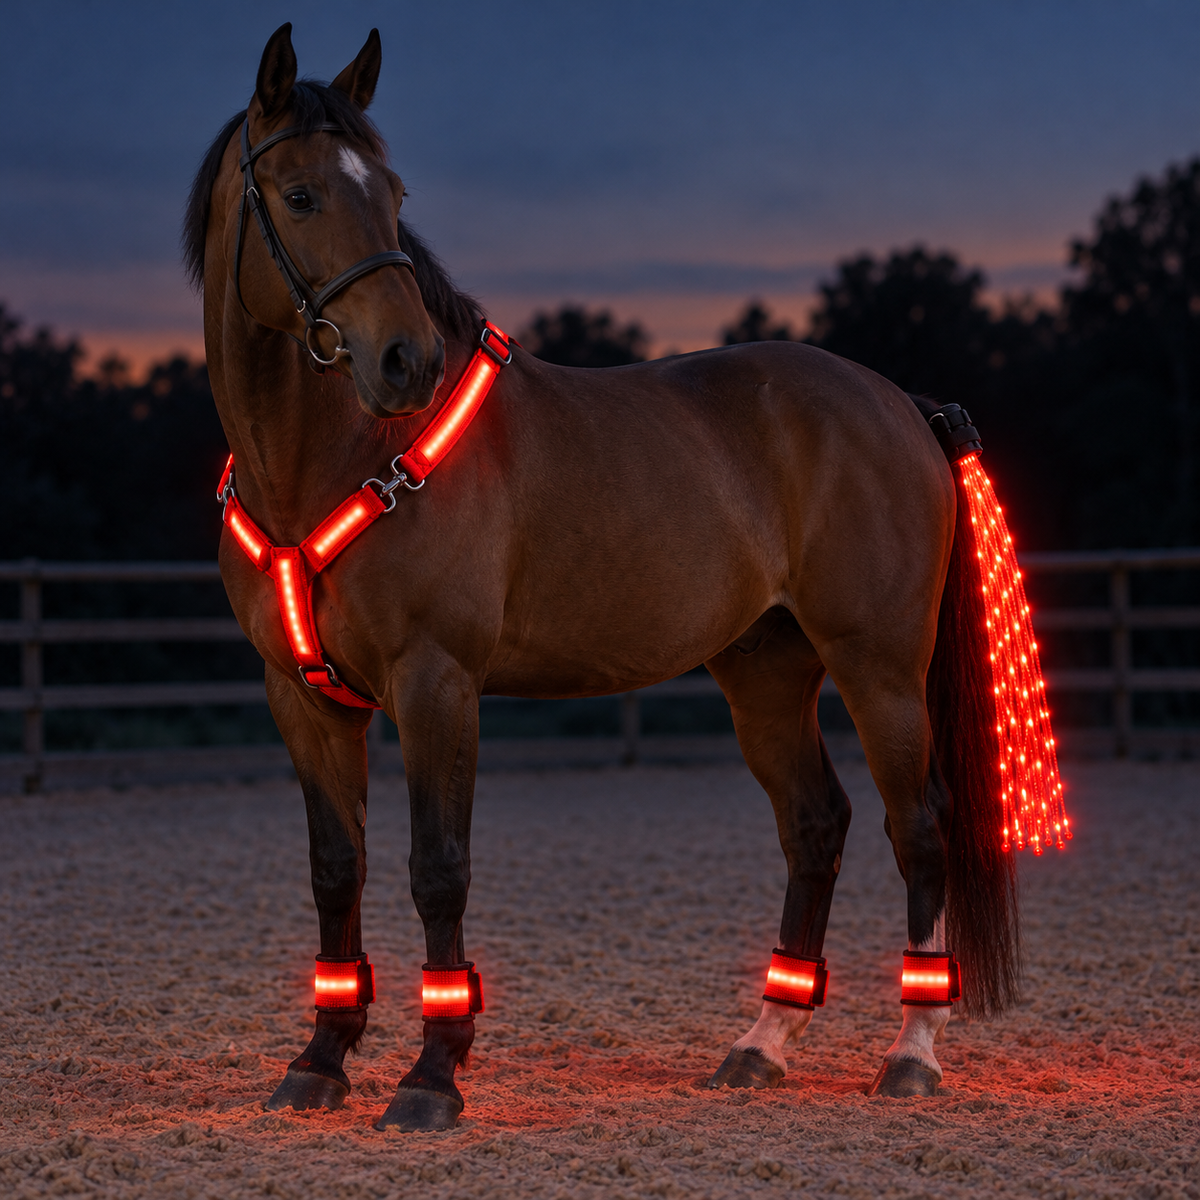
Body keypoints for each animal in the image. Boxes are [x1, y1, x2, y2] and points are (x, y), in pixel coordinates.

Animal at [183, 23, 1030, 1132]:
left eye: (395, 194)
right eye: (299, 196)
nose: (405, 361)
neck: (338, 458)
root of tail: (900, 405)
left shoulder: (437, 682)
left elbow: (437, 870)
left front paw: (431, 1076)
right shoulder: (303, 697)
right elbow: (337, 871)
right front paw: (320, 1061)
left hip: (879, 669)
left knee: (917, 827)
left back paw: (913, 1054)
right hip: (765, 674)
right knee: (817, 827)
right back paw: (761, 1044)